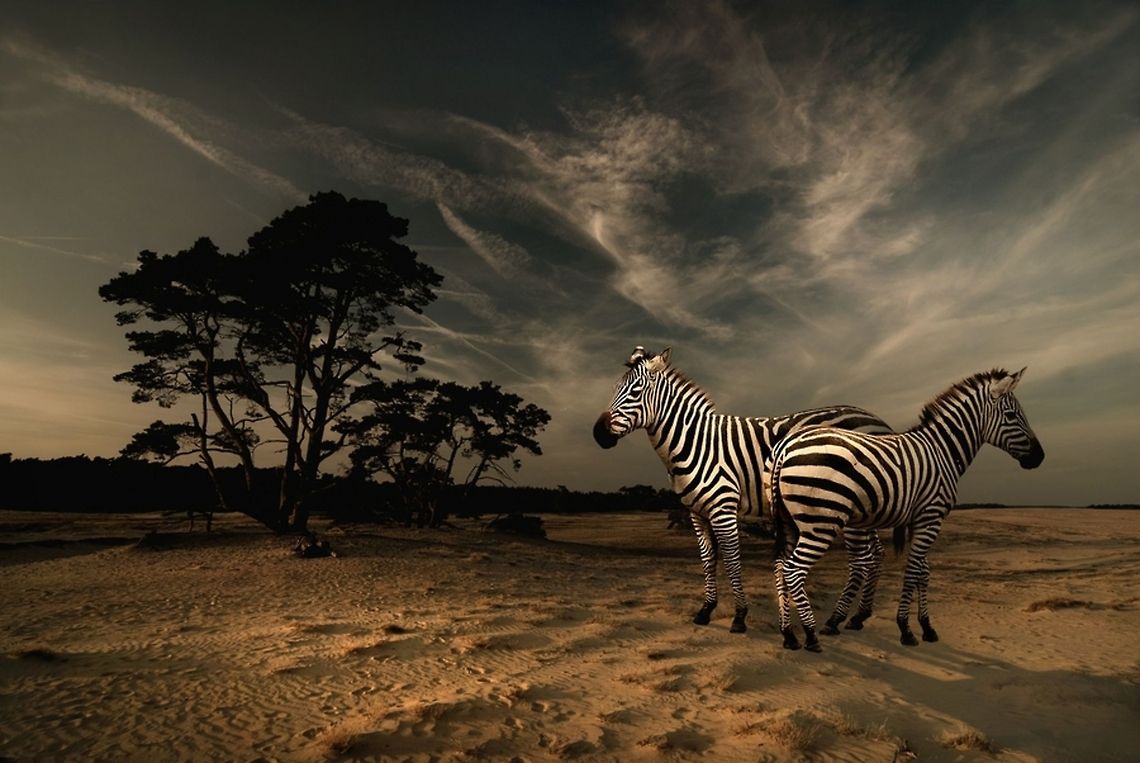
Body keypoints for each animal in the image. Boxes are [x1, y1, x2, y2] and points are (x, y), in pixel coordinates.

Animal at [592, 346, 892, 633]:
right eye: (615, 388)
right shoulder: (696, 512)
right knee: (876, 554)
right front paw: (706, 610)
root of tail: (880, 421)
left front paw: (739, 616)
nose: (599, 434)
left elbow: (732, 560)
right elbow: (708, 559)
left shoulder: (723, 508)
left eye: (635, 391)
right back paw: (859, 616)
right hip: (869, 506)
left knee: (862, 560)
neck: (694, 442)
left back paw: (836, 620)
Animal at [769, 367, 1044, 652]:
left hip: (791, 521)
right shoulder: (931, 516)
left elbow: (923, 571)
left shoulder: (922, 519)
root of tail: (786, 447)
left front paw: (927, 626)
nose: (1039, 457)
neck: (943, 451)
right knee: (794, 570)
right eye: (1012, 416)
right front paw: (906, 628)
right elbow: (913, 570)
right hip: (820, 522)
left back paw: (788, 633)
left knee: (780, 566)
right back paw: (811, 635)